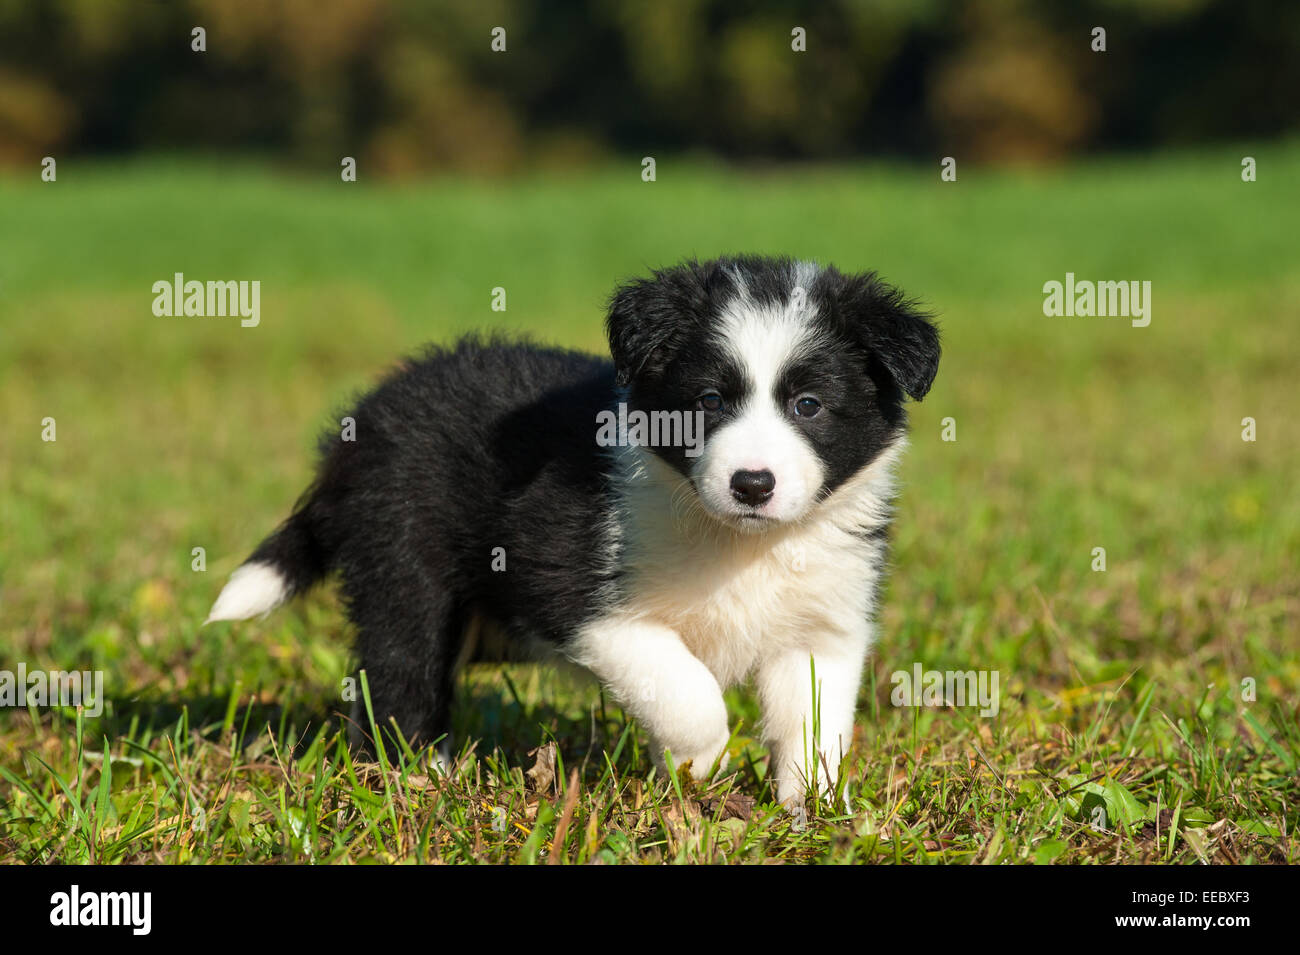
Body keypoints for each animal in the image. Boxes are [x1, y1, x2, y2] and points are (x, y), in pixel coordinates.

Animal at [213, 254, 946, 805]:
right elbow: (688, 691)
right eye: (709, 400)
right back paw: (421, 780)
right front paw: (700, 764)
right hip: (404, 560)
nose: (753, 484)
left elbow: (813, 722)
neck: (740, 541)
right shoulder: (576, 593)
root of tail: (363, 420)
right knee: (398, 669)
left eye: (809, 405)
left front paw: (809, 811)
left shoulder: (822, 624)